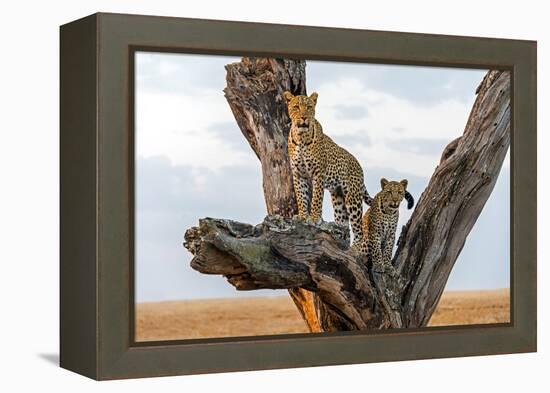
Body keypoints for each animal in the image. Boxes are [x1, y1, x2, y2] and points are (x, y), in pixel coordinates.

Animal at [286, 90, 374, 247]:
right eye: (296, 107)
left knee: (359, 230)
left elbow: (316, 198)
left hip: (353, 198)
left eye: (309, 107)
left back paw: (355, 248)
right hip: (338, 198)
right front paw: (302, 216)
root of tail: (359, 167)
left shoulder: (318, 173)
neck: (301, 137)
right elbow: (301, 196)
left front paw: (314, 218)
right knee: (344, 224)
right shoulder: (298, 174)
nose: (304, 117)